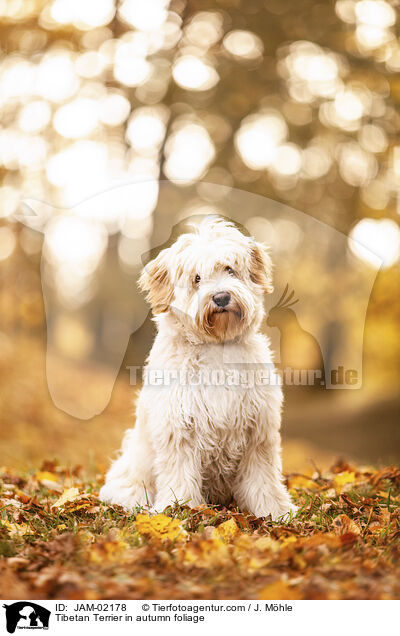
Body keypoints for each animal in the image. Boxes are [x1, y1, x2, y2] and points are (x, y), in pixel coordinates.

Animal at [99, 216, 296, 520]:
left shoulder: (258, 428)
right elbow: (180, 472)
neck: (216, 347)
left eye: (230, 269)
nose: (221, 297)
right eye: (197, 278)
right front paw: (178, 507)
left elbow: (262, 475)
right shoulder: (178, 426)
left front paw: (274, 509)